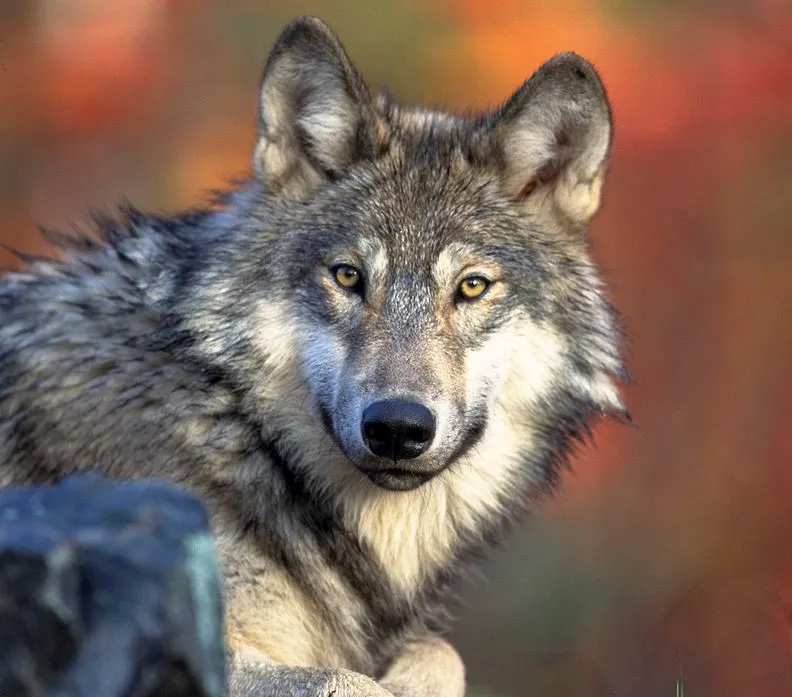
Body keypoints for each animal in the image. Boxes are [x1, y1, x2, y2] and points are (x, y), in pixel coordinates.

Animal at [0, 15, 627, 697]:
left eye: (472, 287)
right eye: (348, 276)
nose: (398, 427)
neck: (235, 427)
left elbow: (441, 655)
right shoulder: (187, 636)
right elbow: (346, 680)